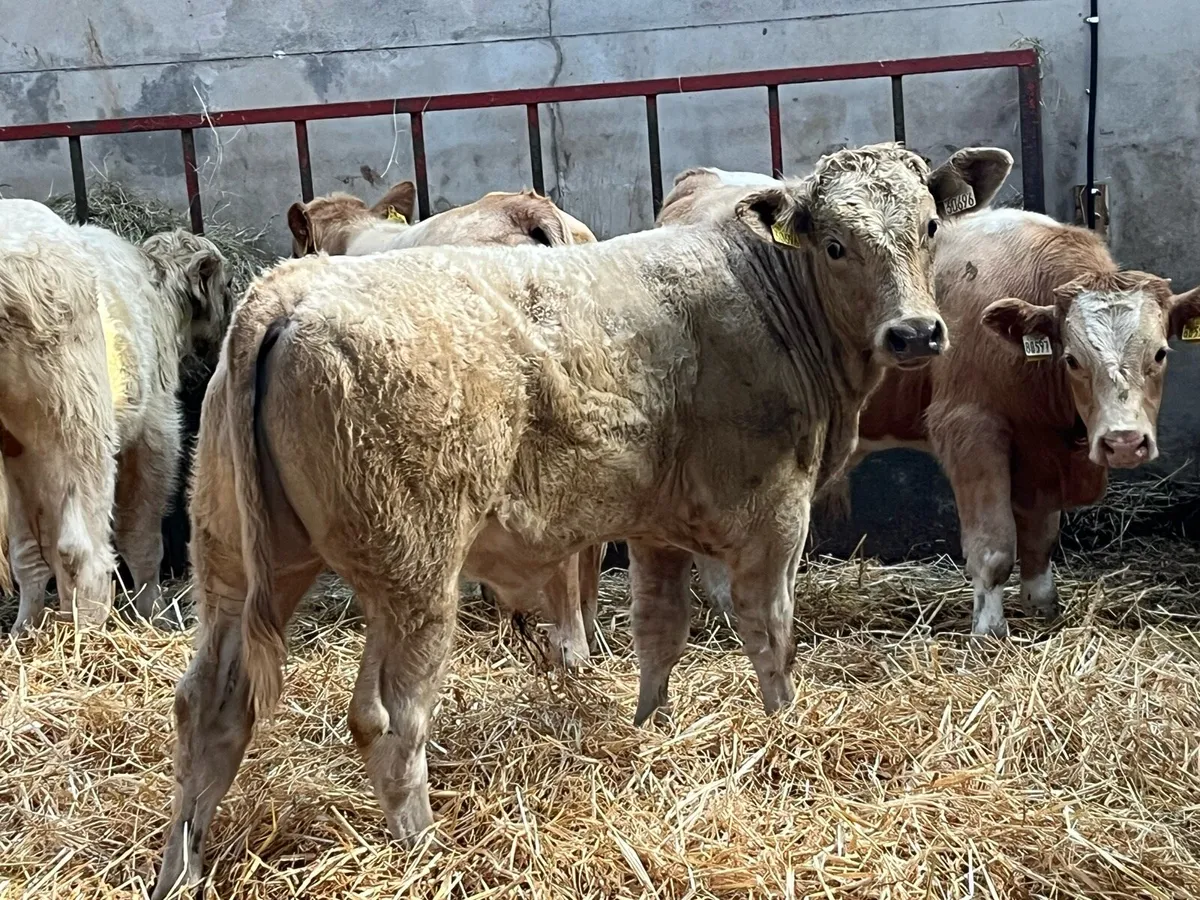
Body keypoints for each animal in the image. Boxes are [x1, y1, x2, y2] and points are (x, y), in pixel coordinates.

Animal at [0, 199, 233, 633]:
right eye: (226, 287)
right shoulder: (157, 428)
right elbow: (141, 534)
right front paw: (153, 612)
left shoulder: (17, 451)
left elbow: (26, 552)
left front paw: (27, 629)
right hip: (79, 420)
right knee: (80, 548)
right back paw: (90, 633)